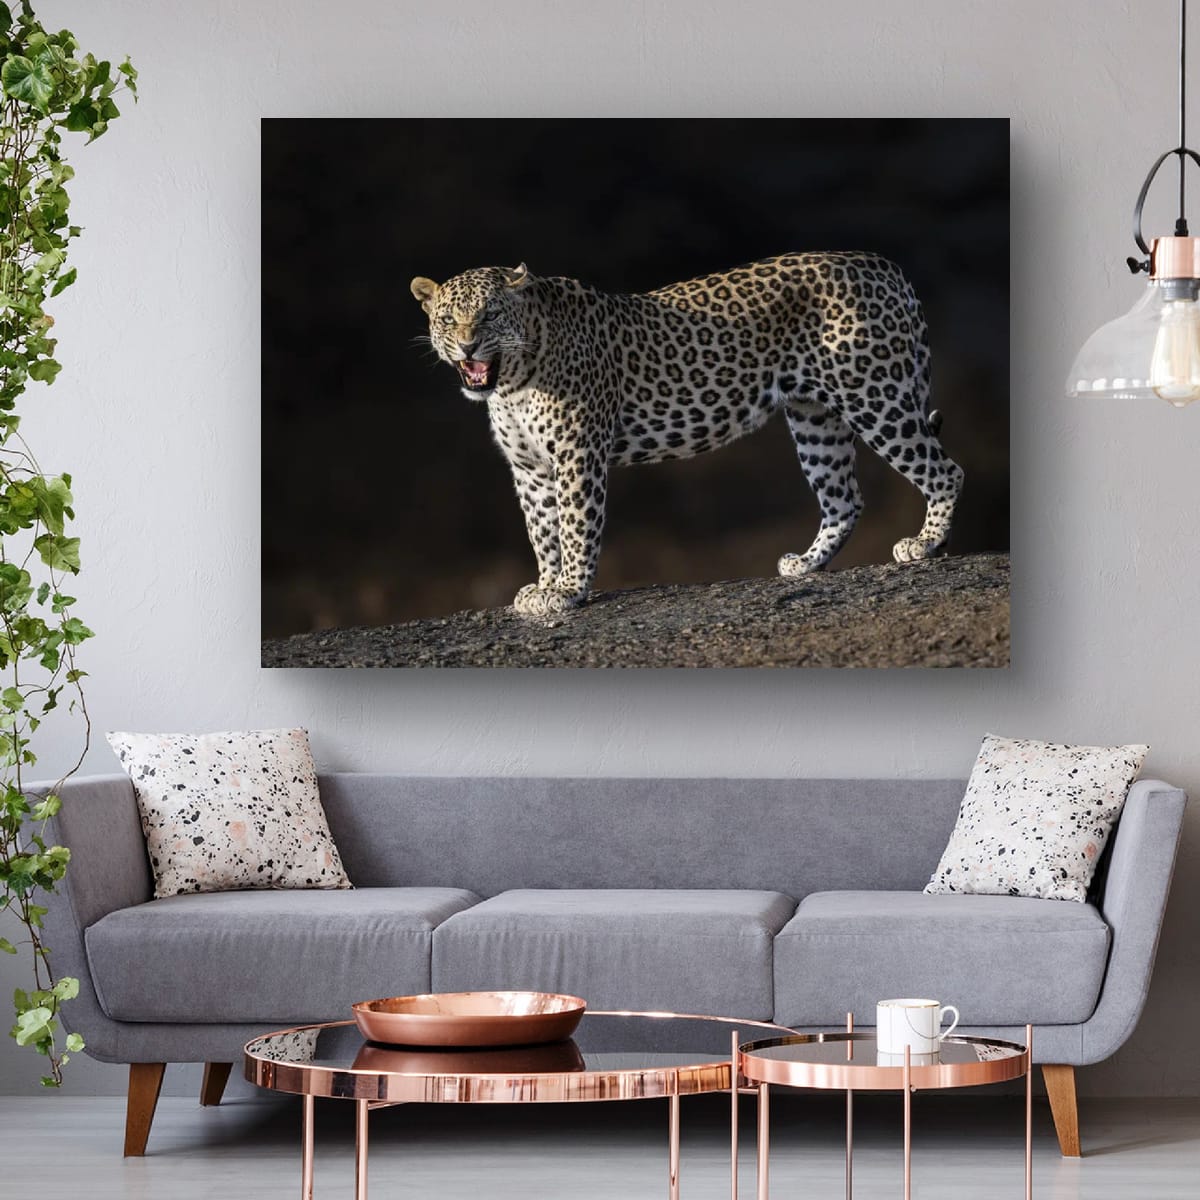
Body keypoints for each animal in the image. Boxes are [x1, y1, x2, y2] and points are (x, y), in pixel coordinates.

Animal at [411, 253, 964, 617]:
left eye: (489, 314)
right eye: (447, 318)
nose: (468, 345)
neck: (514, 381)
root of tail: (883, 266)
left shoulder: (577, 455)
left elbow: (575, 526)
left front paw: (568, 590)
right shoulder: (529, 469)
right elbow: (542, 532)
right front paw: (545, 584)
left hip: (874, 394)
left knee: (945, 470)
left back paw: (924, 543)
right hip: (814, 416)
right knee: (844, 498)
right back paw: (806, 564)